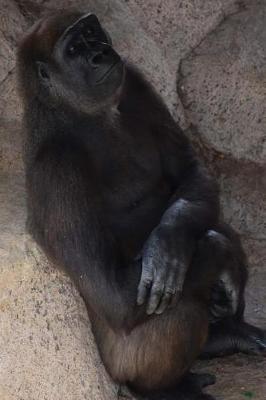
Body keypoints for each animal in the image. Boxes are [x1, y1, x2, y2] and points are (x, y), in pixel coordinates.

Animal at [17, 11, 264, 400]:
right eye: (73, 49)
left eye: (93, 32)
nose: (100, 53)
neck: (72, 111)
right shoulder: (55, 170)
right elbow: (116, 293)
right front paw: (214, 253)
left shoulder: (133, 80)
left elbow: (190, 174)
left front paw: (169, 240)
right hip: (118, 366)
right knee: (176, 297)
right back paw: (164, 387)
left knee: (205, 216)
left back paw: (223, 334)